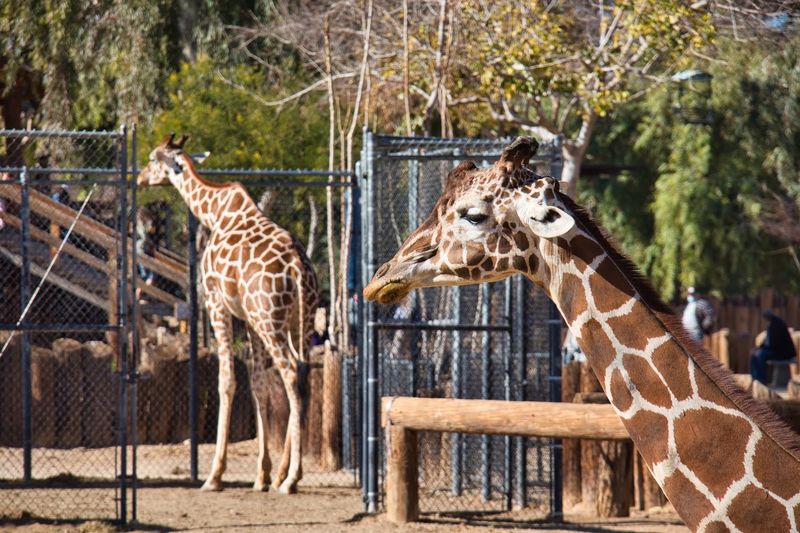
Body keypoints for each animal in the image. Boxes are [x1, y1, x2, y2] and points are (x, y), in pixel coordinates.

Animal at [138, 134, 319, 494]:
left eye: (153, 158)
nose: (139, 177)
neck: (214, 214)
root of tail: (297, 267)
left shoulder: (216, 304)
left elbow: (227, 380)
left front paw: (215, 475)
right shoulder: (247, 317)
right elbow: (258, 383)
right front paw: (262, 476)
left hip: (271, 321)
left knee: (291, 372)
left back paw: (291, 478)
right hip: (298, 321)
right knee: (303, 373)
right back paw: (284, 474)